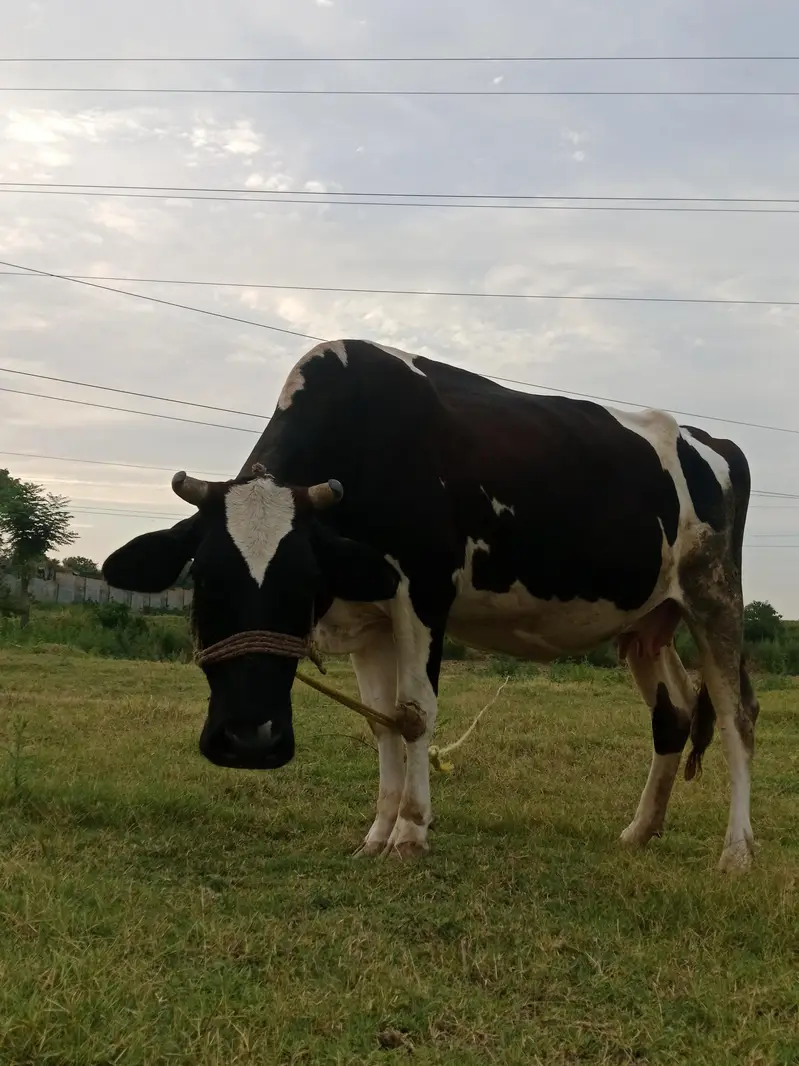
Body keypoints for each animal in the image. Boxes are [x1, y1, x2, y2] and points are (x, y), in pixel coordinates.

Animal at [102, 339, 760, 872]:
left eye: (303, 581)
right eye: (203, 577)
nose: (250, 743)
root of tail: (712, 440)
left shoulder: (423, 589)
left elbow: (415, 711)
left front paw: (412, 835)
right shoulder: (366, 614)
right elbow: (381, 720)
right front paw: (376, 833)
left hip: (716, 594)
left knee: (737, 713)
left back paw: (737, 851)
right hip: (649, 620)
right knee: (675, 712)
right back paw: (641, 830)